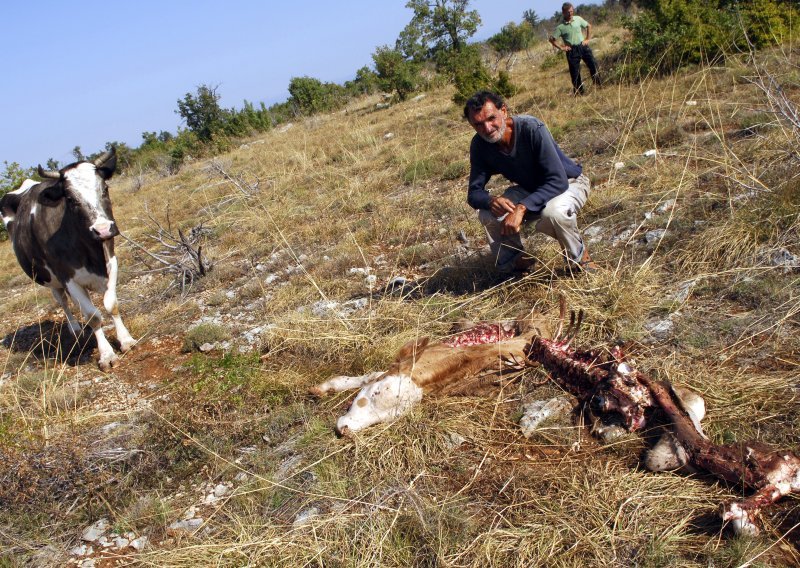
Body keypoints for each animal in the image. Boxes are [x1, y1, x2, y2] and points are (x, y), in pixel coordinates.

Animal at [0, 148, 136, 368]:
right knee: (63, 301)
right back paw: (75, 328)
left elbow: (111, 304)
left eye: (105, 188)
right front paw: (106, 355)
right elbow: (93, 316)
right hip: (51, 280)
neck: (92, 255)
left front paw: (125, 340)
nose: (103, 229)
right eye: (71, 199)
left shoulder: (111, 261)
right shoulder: (67, 277)